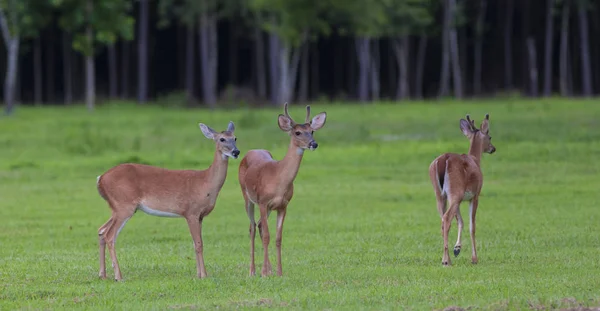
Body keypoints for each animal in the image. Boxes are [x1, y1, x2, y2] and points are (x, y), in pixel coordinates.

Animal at [96, 120, 239, 282]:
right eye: (222, 139)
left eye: (235, 138)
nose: (236, 152)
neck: (205, 183)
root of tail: (100, 179)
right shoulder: (191, 211)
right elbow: (198, 244)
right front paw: (203, 275)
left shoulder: (200, 216)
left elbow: (194, 243)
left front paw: (199, 274)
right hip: (124, 205)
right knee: (109, 235)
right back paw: (118, 276)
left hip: (117, 207)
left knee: (101, 231)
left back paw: (103, 274)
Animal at [238, 103, 328, 278]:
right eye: (297, 132)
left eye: (312, 131)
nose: (313, 144)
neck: (278, 179)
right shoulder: (263, 202)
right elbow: (267, 236)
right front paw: (263, 273)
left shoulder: (283, 205)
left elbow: (278, 238)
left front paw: (279, 272)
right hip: (247, 197)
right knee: (252, 227)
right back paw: (252, 270)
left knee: (259, 225)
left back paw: (269, 269)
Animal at [426, 113, 496, 266]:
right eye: (490, 137)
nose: (493, 149)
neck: (475, 159)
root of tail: (443, 160)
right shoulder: (475, 195)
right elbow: (472, 225)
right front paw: (474, 258)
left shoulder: (459, 198)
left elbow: (460, 221)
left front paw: (457, 248)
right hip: (455, 191)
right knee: (446, 218)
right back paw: (446, 260)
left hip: (441, 194)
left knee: (443, 220)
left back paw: (447, 258)